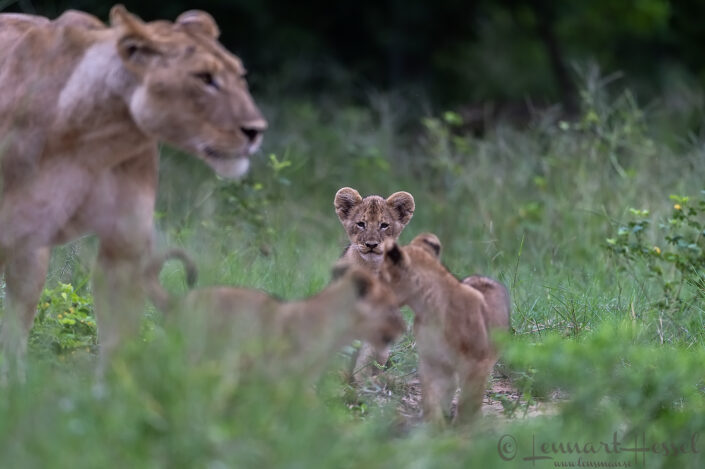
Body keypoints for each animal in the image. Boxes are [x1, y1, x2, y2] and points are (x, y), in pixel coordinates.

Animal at [0, 5, 267, 379]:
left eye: (239, 76)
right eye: (203, 77)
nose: (256, 131)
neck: (91, 139)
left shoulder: (125, 244)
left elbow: (117, 343)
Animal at [333, 187, 414, 380]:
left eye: (384, 225)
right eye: (361, 224)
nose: (371, 244)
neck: (371, 268)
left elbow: (367, 354)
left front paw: (361, 380)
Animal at [380, 233, 511, 424]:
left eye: (379, 275)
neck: (428, 309)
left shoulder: (477, 363)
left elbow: (468, 403)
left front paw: (463, 427)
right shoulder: (433, 362)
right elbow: (432, 399)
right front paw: (435, 426)